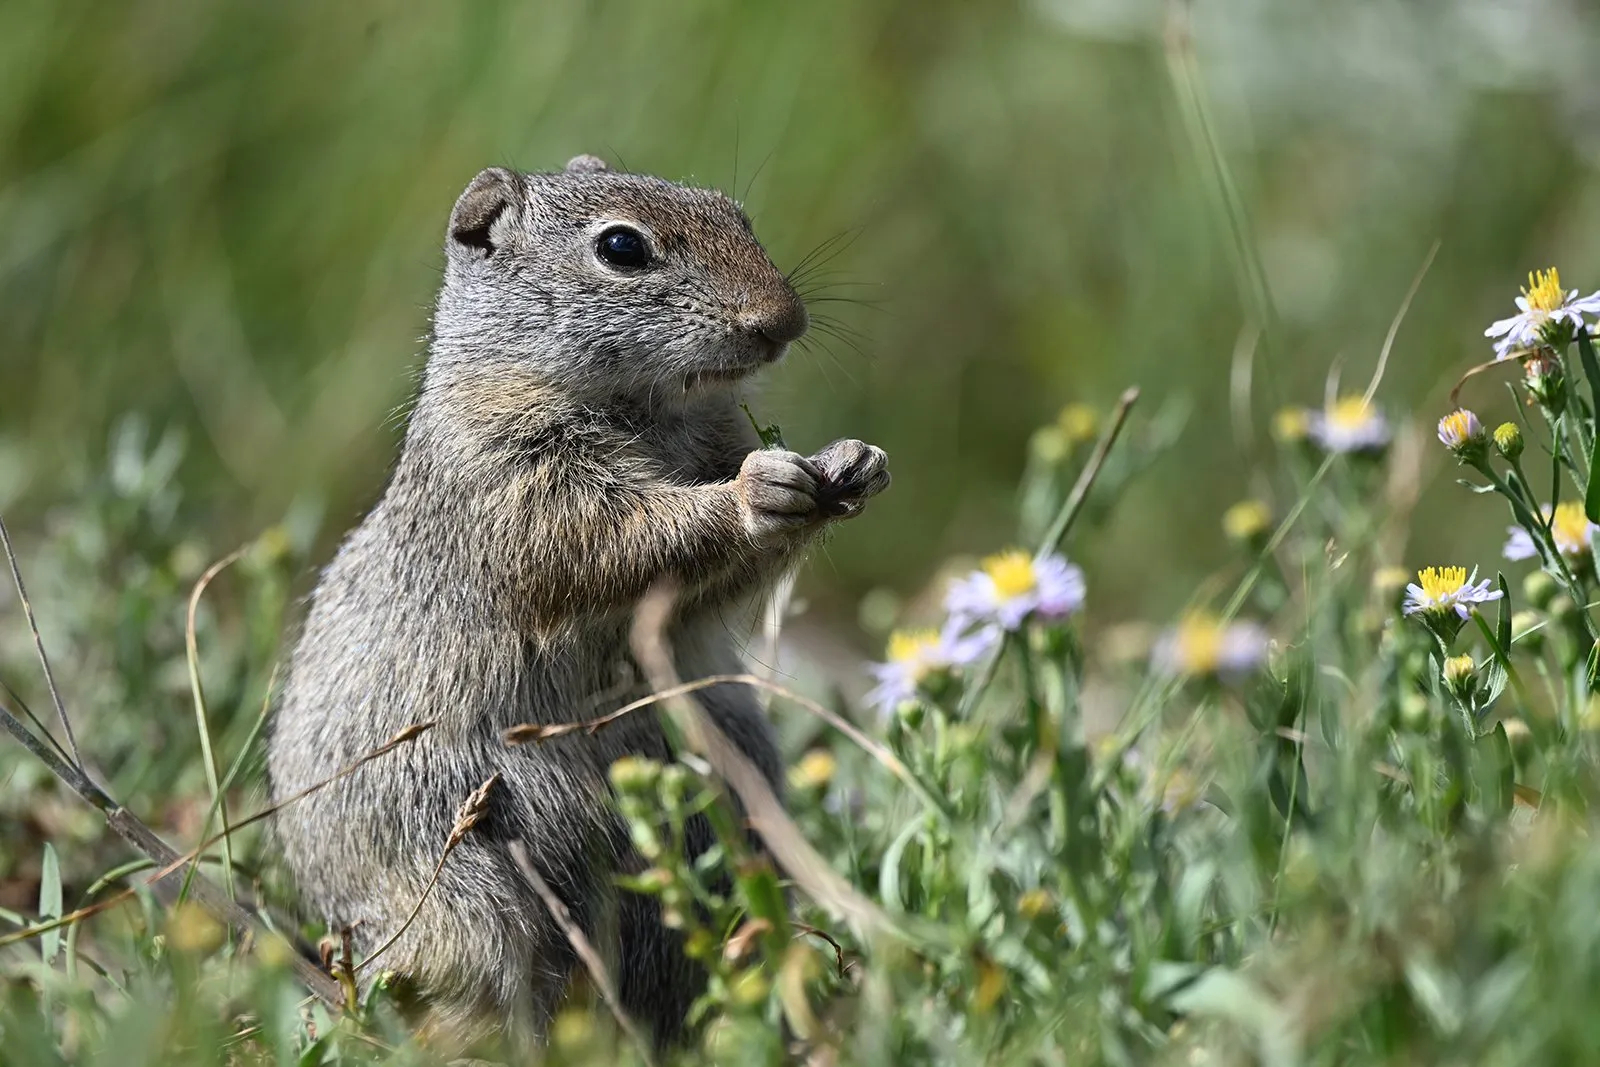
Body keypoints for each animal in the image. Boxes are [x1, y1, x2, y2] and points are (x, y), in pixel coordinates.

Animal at [262, 156, 889, 1049]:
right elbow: (621, 540)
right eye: (622, 248)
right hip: (470, 894)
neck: (649, 408)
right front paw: (755, 493)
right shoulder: (525, 487)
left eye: (734, 212)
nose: (783, 320)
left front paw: (853, 462)